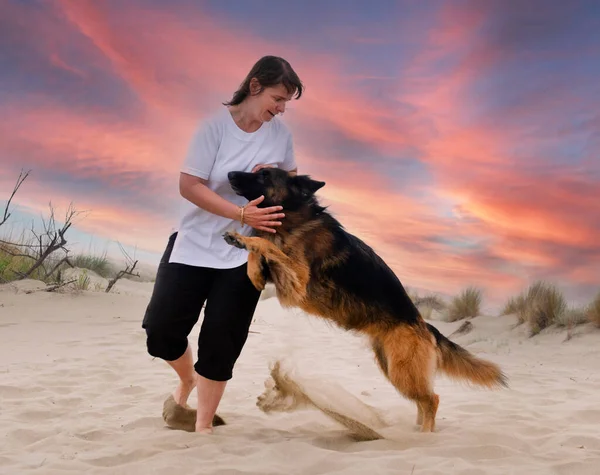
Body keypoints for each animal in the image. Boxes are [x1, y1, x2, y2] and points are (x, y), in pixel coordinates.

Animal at [224, 169, 506, 434]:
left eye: (264, 174)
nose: (229, 173)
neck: (294, 217)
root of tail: (425, 325)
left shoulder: (297, 280)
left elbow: (264, 243)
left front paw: (242, 239)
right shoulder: (284, 279)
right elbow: (261, 252)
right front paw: (252, 268)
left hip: (402, 372)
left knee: (432, 399)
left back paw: (425, 435)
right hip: (392, 367)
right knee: (422, 401)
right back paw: (417, 430)